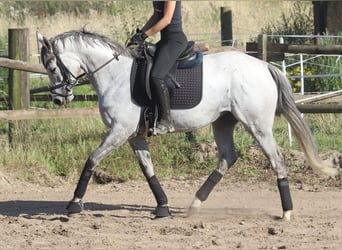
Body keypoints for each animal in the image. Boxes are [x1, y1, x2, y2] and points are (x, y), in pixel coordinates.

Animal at [38, 29, 336, 221]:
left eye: (51, 67)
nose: (58, 99)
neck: (114, 75)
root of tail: (263, 65)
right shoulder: (134, 135)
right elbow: (148, 170)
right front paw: (162, 207)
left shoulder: (119, 131)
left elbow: (92, 159)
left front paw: (74, 204)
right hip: (223, 122)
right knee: (227, 157)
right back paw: (194, 205)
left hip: (256, 125)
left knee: (276, 159)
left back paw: (286, 212)